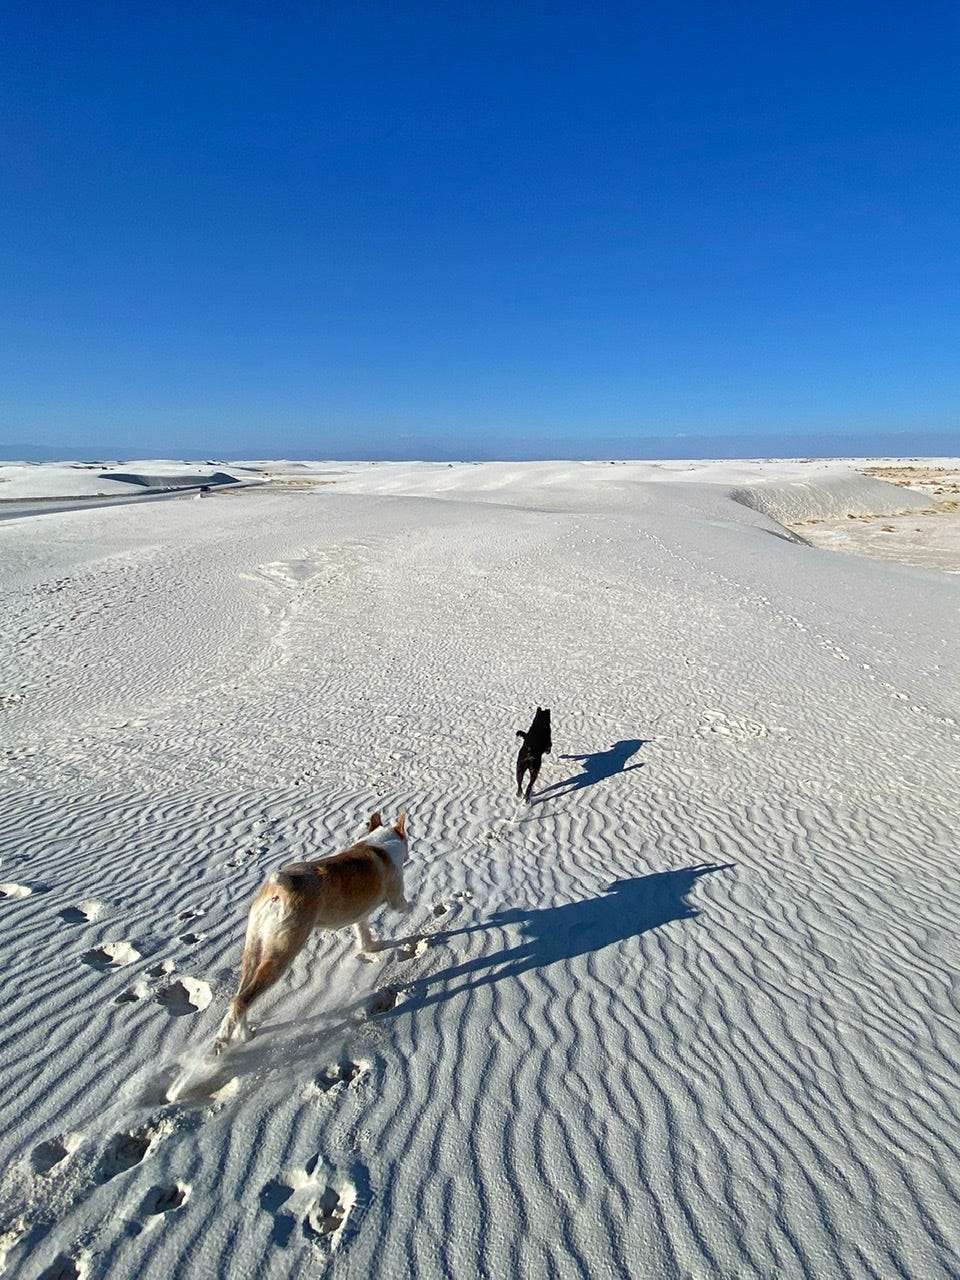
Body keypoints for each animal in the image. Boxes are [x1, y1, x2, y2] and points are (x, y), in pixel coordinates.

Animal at [213, 808, 409, 1049]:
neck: (379, 842)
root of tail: (282, 886)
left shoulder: (360, 915)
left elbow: (363, 931)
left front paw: (370, 947)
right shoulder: (396, 898)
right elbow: (404, 905)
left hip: (254, 946)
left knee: (240, 994)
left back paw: (241, 1034)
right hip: (282, 951)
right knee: (243, 999)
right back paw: (227, 1037)